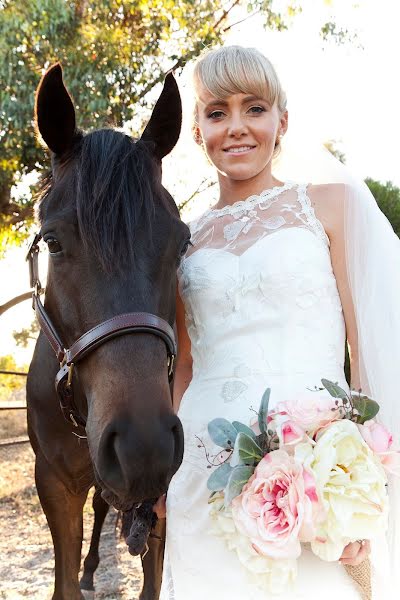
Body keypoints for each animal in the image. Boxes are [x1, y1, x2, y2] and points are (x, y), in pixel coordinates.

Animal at [26, 63, 189, 596]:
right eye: (53, 241)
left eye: (183, 242)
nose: (144, 447)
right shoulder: (54, 484)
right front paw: (80, 571)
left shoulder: (159, 508)